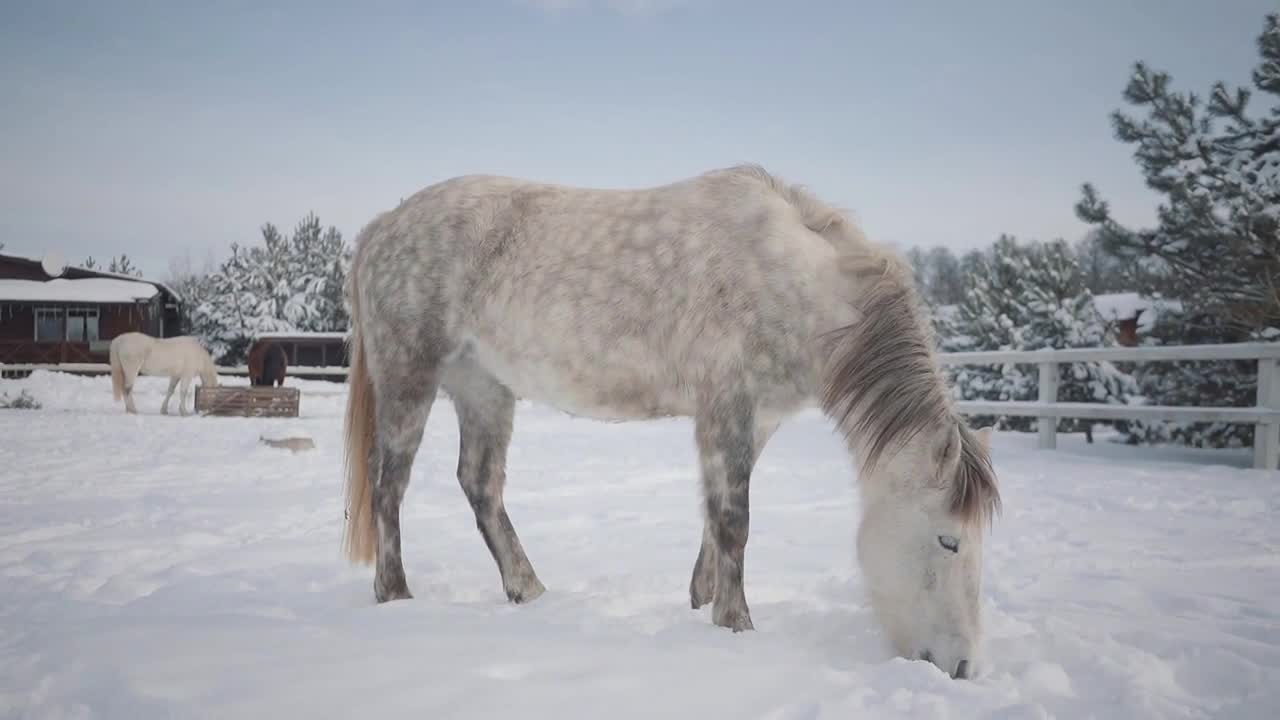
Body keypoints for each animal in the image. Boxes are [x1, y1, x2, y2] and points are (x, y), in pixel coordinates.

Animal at [345, 165, 1003, 676]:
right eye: (948, 540)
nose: (964, 668)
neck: (790, 279)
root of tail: (382, 226)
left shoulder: (754, 420)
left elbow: (714, 517)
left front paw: (701, 600)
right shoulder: (727, 406)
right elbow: (734, 521)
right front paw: (737, 624)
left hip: (484, 387)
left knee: (479, 483)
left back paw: (526, 589)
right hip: (411, 377)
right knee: (390, 485)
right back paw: (395, 593)